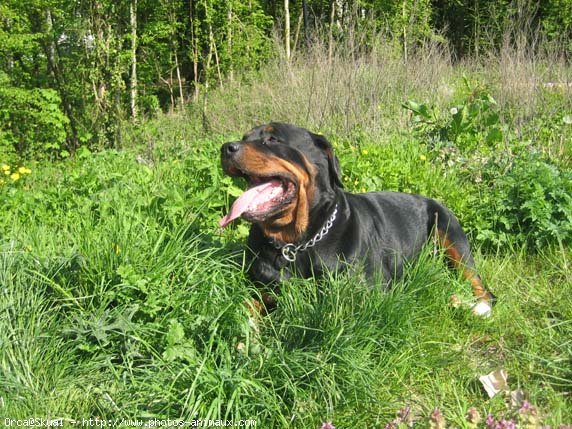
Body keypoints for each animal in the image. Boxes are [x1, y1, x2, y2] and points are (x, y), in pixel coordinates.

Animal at [219, 122, 496, 316]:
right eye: (245, 137)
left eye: (272, 138)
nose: (226, 147)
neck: (296, 242)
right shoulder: (262, 286)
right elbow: (244, 306)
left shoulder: (364, 292)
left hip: (449, 230)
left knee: (480, 285)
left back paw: (475, 307)